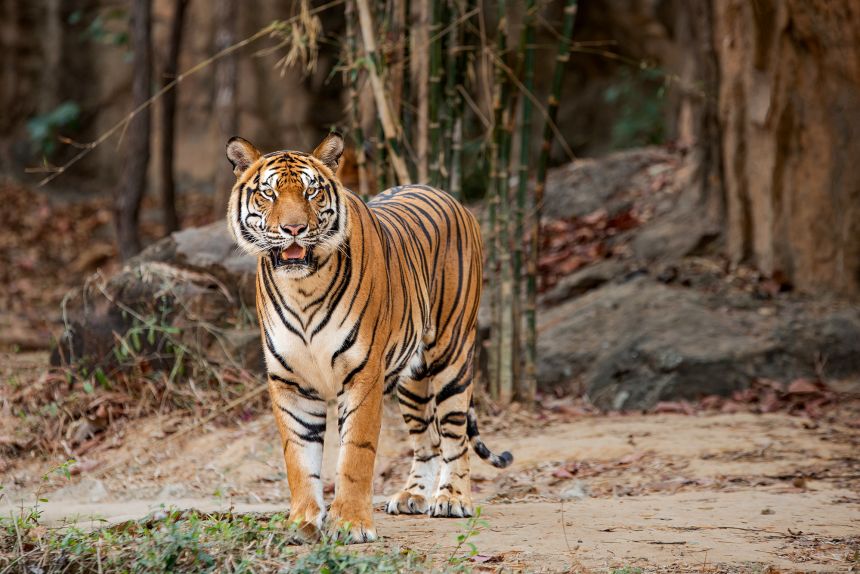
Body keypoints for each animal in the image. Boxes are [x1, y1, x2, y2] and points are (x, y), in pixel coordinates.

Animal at [225, 132, 512, 544]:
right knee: (426, 439)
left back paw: (453, 499)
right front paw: (303, 523)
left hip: (452, 355)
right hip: (412, 378)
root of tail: (448, 195)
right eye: (269, 193)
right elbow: (299, 457)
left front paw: (351, 524)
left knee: (454, 435)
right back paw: (412, 496)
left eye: (311, 193)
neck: (302, 288)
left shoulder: (363, 374)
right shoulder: (289, 381)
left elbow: (355, 454)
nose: (294, 229)